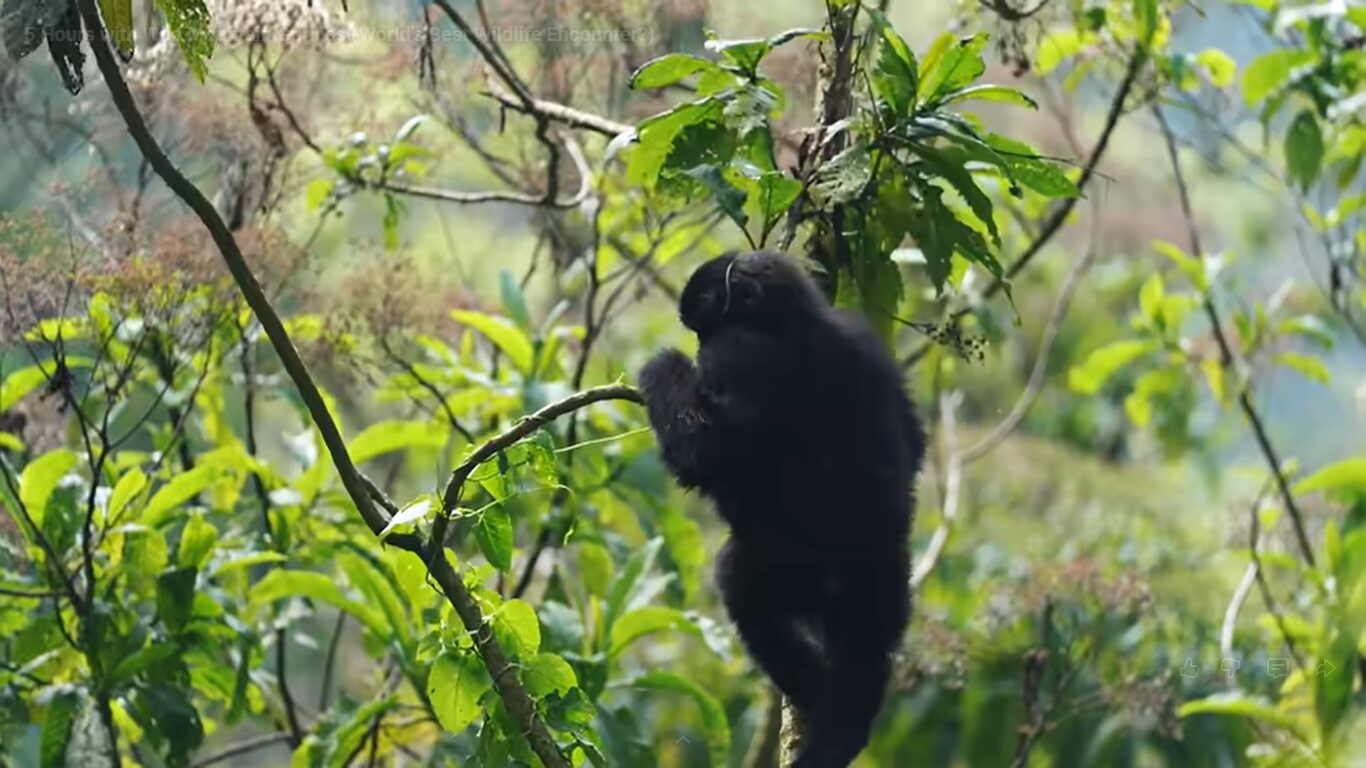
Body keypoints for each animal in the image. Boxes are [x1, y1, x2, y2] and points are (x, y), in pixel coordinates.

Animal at [639, 250, 925, 768]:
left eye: (703, 323)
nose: (697, 342)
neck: (799, 322)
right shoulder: (868, 343)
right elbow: (916, 444)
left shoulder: (732, 354)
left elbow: (706, 452)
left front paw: (663, 365)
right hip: (886, 587)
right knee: (867, 661)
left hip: (792, 569)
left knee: (739, 585)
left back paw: (810, 688)